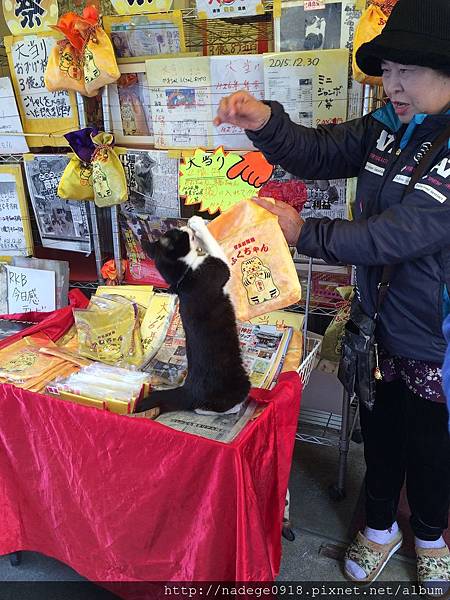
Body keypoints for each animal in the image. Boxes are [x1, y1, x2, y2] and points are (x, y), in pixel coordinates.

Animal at [137, 216, 250, 418]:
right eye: (180, 233)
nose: (184, 225)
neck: (184, 274)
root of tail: (188, 390)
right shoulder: (218, 267)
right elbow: (215, 247)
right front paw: (198, 223)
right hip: (240, 382)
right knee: (209, 408)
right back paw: (237, 407)